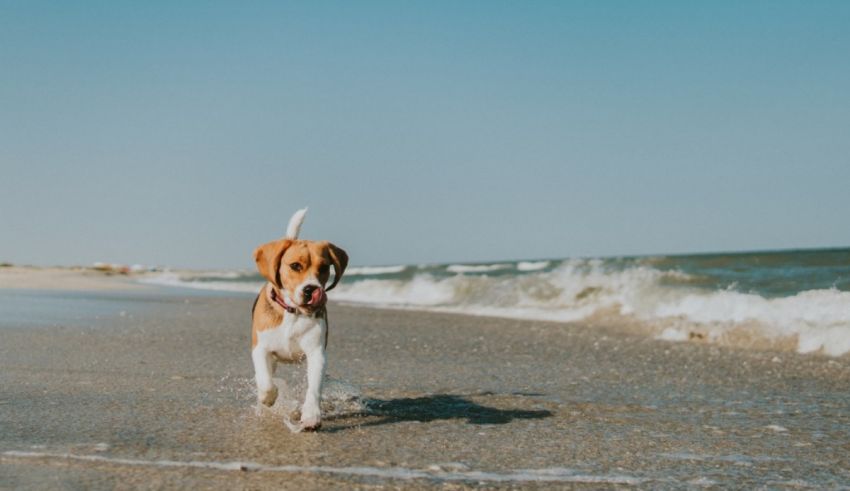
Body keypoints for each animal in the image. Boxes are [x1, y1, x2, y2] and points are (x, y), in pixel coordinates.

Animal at [250, 209, 346, 432]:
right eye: (295, 266)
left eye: (324, 267)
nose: (311, 289)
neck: (293, 313)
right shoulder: (260, 349)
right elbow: (266, 382)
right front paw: (267, 398)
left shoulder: (316, 353)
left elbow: (314, 388)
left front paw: (311, 416)